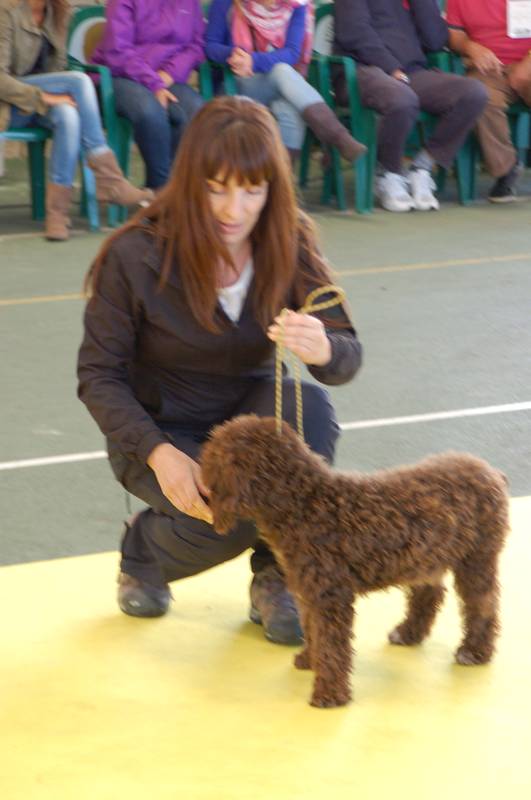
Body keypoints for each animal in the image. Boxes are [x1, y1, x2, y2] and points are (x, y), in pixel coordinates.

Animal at [201, 415, 510, 708]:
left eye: (214, 456)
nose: (201, 476)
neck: (303, 505)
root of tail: (491, 472)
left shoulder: (331, 597)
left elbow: (332, 645)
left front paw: (329, 694)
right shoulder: (310, 595)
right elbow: (313, 632)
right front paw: (309, 659)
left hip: (477, 559)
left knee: (483, 605)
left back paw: (475, 650)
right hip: (426, 557)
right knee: (431, 594)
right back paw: (408, 633)